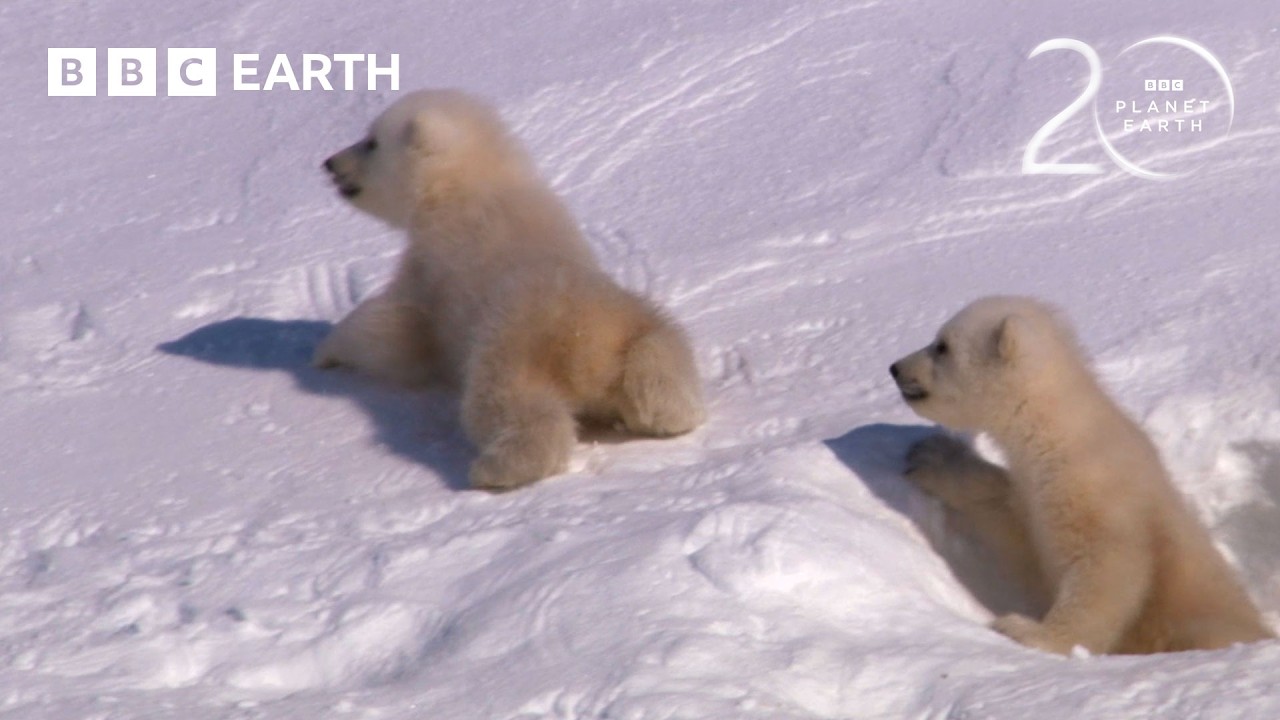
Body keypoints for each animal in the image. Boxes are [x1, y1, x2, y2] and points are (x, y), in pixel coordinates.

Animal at [314, 89, 706, 491]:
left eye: (371, 141)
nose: (330, 163)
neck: (472, 182)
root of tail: (589, 350)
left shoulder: (432, 265)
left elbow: (395, 325)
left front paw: (326, 352)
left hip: (511, 344)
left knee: (510, 407)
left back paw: (496, 468)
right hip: (633, 317)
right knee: (661, 356)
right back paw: (665, 414)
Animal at [889, 295, 1274, 655]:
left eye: (942, 345)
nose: (895, 367)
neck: (1061, 434)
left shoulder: (1095, 488)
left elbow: (1107, 569)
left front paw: (1029, 632)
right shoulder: (1036, 497)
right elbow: (1010, 520)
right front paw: (931, 455)